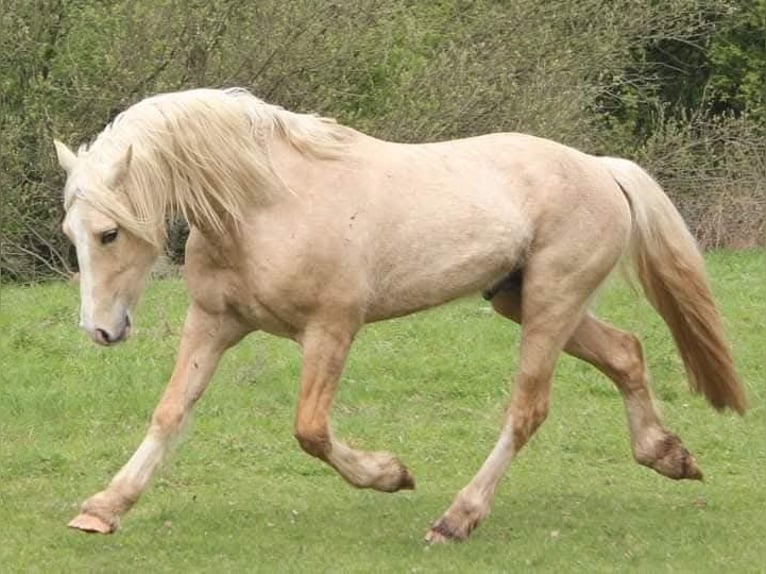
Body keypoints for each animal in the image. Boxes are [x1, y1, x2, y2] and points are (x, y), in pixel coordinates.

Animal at [55, 88, 752, 544]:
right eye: (72, 232)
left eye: (110, 233)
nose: (100, 331)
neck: (270, 204)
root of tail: (603, 170)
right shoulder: (214, 322)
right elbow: (170, 413)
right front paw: (103, 508)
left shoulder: (332, 328)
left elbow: (310, 429)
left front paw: (391, 475)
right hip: (520, 299)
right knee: (627, 352)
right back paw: (668, 455)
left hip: (551, 303)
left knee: (527, 409)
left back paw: (457, 518)